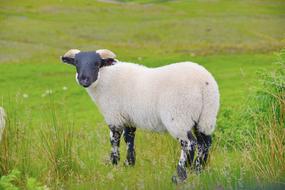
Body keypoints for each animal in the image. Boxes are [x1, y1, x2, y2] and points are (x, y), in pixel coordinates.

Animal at [60, 48, 220, 183]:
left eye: (97, 63)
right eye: (77, 63)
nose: (83, 79)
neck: (106, 78)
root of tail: (204, 84)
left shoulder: (114, 117)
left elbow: (114, 142)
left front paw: (114, 165)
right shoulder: (128, 118)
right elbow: (129, 139)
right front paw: (129, 164)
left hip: (179, 116)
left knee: (189, 144)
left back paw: (180, 175)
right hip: (206, 117)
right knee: (205, 143)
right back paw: (198, 171)